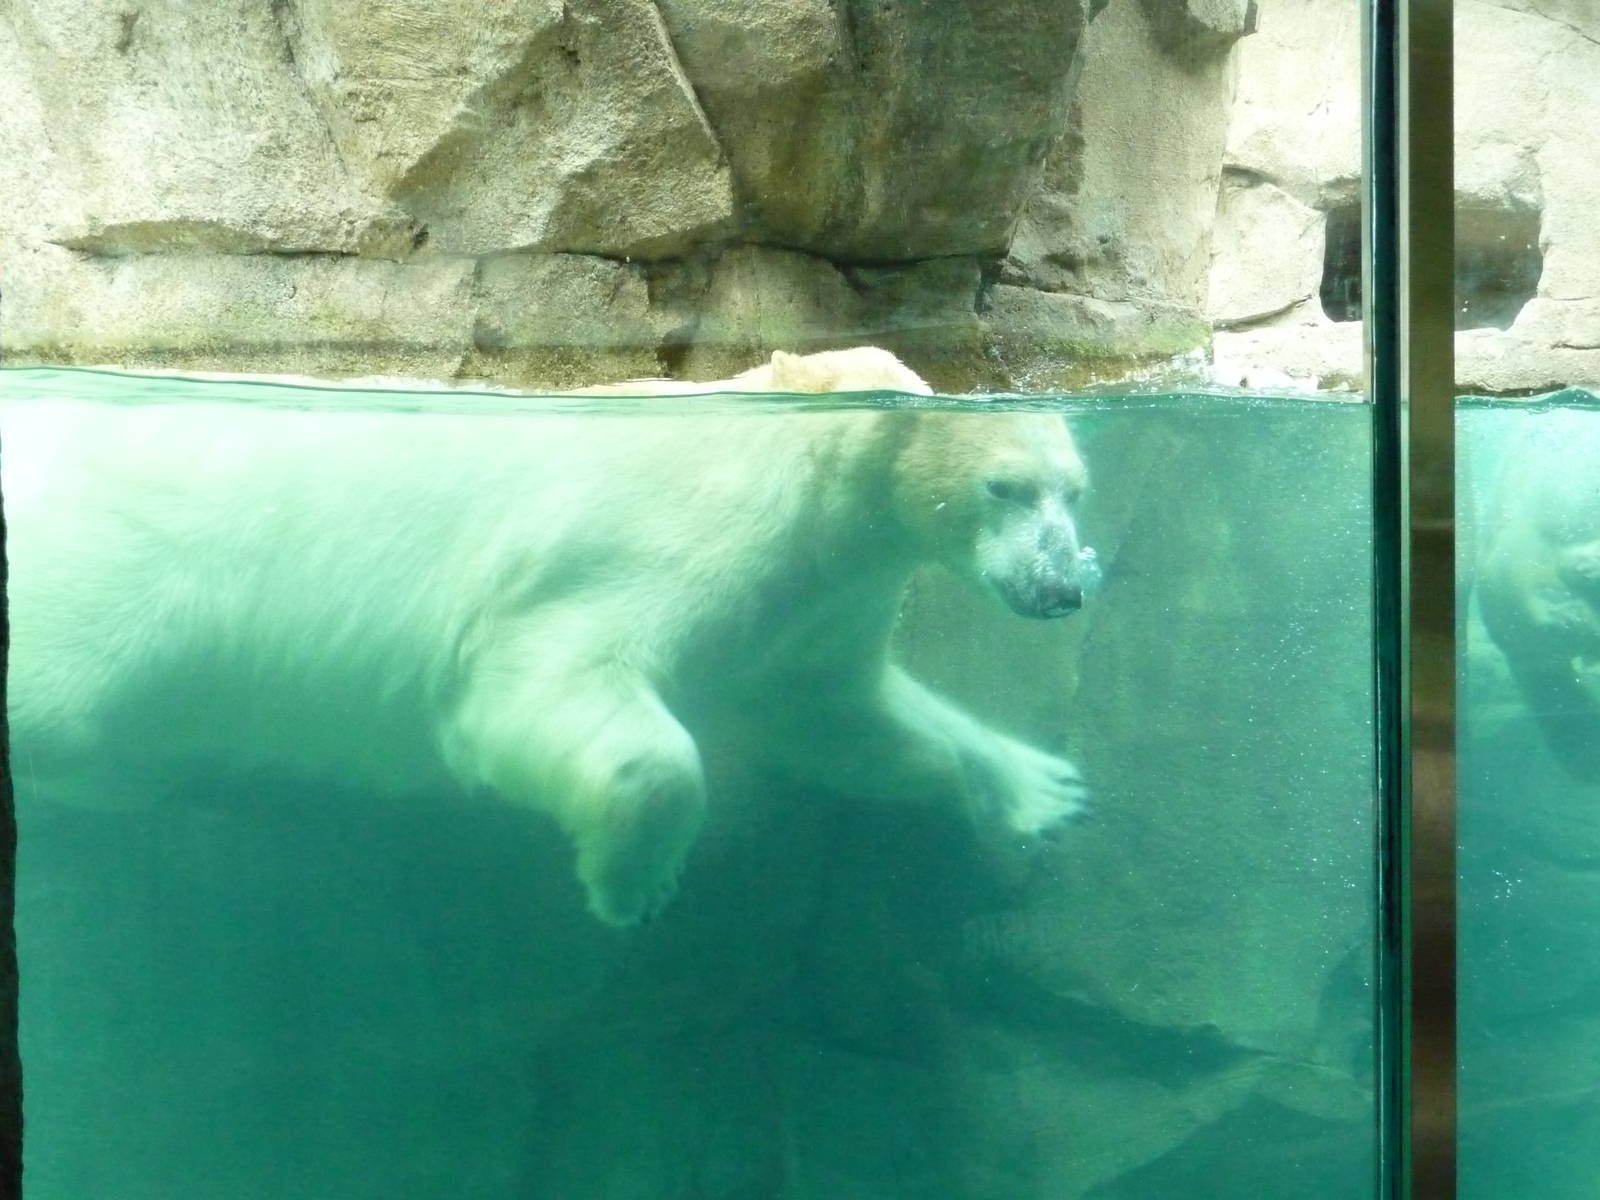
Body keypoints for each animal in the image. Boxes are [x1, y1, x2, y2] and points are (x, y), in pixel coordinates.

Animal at [2, 347, 1093, 926]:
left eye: (1073, 493)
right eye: (1006, 488)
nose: (1061, 588)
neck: (793, 465)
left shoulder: (821, 599)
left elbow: (835, 712)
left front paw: (1041, 787)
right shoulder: (662, 544)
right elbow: (543, 682)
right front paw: (633, 883)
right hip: (108, 588)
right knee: (69, 712)